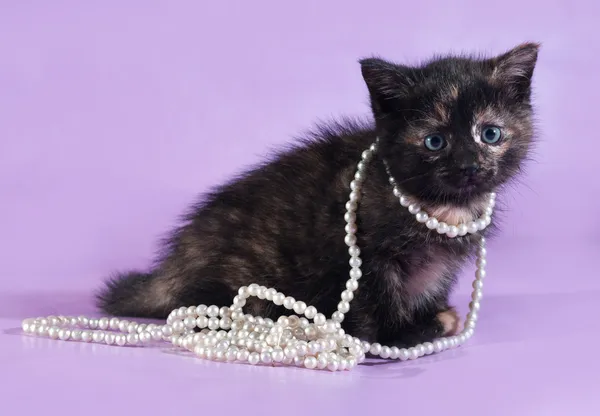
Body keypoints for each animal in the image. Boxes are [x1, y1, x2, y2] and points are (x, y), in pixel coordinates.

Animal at [95, 43, 540, 348]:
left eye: (490, 134)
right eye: (435, 141)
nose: (468, 165)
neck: (440, 208)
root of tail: (172, 266)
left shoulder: (442, 264)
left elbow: (433, 282)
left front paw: (431, 313)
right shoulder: (363, 255)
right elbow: (373, 297)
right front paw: (405, 333)